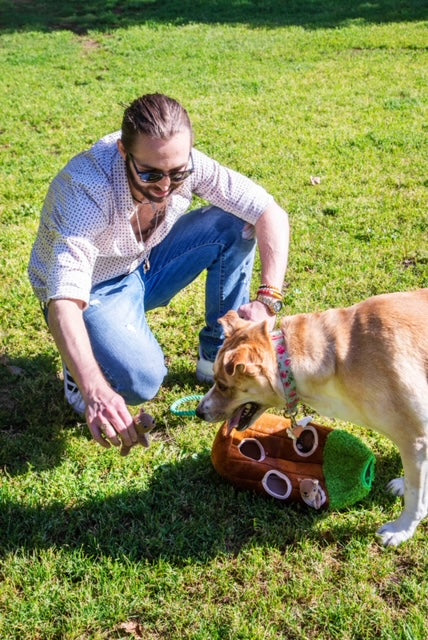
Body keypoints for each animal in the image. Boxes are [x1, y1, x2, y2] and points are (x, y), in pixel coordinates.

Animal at [197, 290, 428, 544]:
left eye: (222, 385)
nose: (199, 412)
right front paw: (405, 489)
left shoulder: (414, 438)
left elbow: (416, 496)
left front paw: (402, 530)